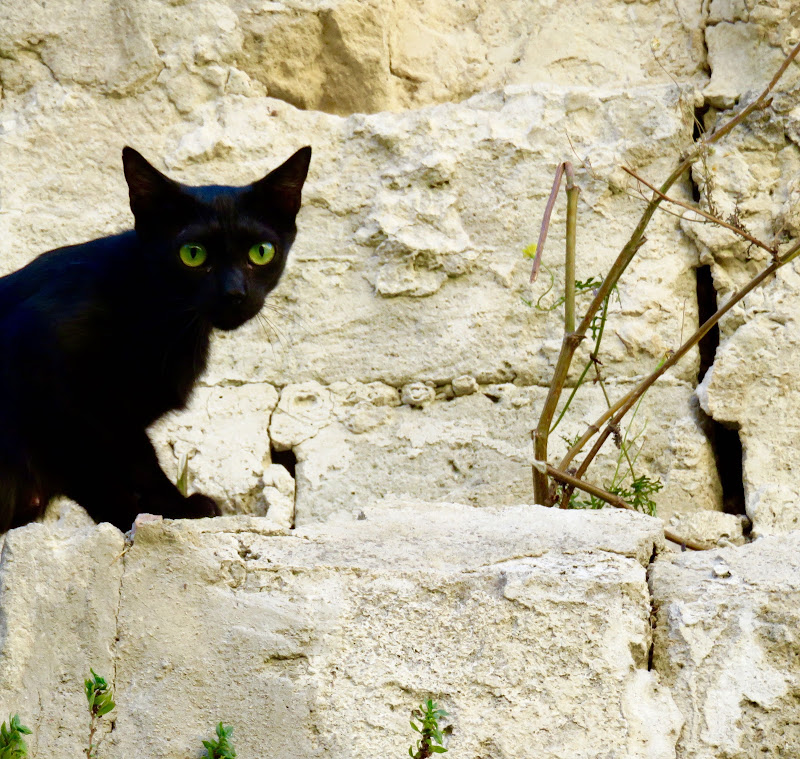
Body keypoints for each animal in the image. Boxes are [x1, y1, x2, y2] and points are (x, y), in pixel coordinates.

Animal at [0, 145, 310, 532]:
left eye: (261, 252)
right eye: (192, 254)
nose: (234, 293)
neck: (161, 318)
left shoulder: (116, 418)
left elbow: (134, 460)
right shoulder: (46, 381)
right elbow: (102, 465)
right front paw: (161, 511)